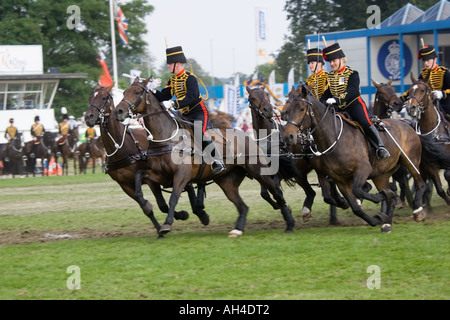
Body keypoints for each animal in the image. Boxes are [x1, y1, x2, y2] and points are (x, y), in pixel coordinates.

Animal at [85, 84, 211, 239]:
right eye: (90, 98)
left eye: (103, 98)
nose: (88, 117)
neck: (121, 147)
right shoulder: (125, 185)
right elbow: (146, 206)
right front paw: (161, 227)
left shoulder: (151, 179)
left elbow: (162, 204)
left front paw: (179, 216)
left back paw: (199, 209)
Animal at [112, 77, 296, 238]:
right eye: (124, 92)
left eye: (137, 92)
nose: (118, 111)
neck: (167, 137)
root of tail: (248, 138)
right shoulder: (160, 175)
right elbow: (139, 177)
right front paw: (144, 202)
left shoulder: (181, 175)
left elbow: (173, 198)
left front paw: (167, 224)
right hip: (227, 181)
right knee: (243, 206)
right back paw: (237, 230)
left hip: (259, 172)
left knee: (277, 193)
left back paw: (289, 222)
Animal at [246, 85, 352, 225]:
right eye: (252, 98)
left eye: (266, 95)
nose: (268, 109)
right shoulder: (266, 173)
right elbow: (265, 193)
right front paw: (282, 207)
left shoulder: (281, 173)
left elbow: (275, 190)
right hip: (300, 175)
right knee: (312, 192)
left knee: (325, 185)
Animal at [284, 84, 428, 231]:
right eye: (288, 110)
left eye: (302, 109)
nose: (288, 136)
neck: (334, 138)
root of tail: (407, 124)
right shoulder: (338, 179)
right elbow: (354, 206)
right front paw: (376, 218)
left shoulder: (363, 170)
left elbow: (358, 191)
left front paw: (377, 199)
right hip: (380, 175)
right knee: (390, 196)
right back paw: (387, 221)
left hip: (411, 161)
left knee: (420, 183)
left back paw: (418, 211)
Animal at [400, 73, 450, 206]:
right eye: (409, 91)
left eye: (422, 90)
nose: (410, 107)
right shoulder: (430, 166)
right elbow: (440, 190)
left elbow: (447, 175)